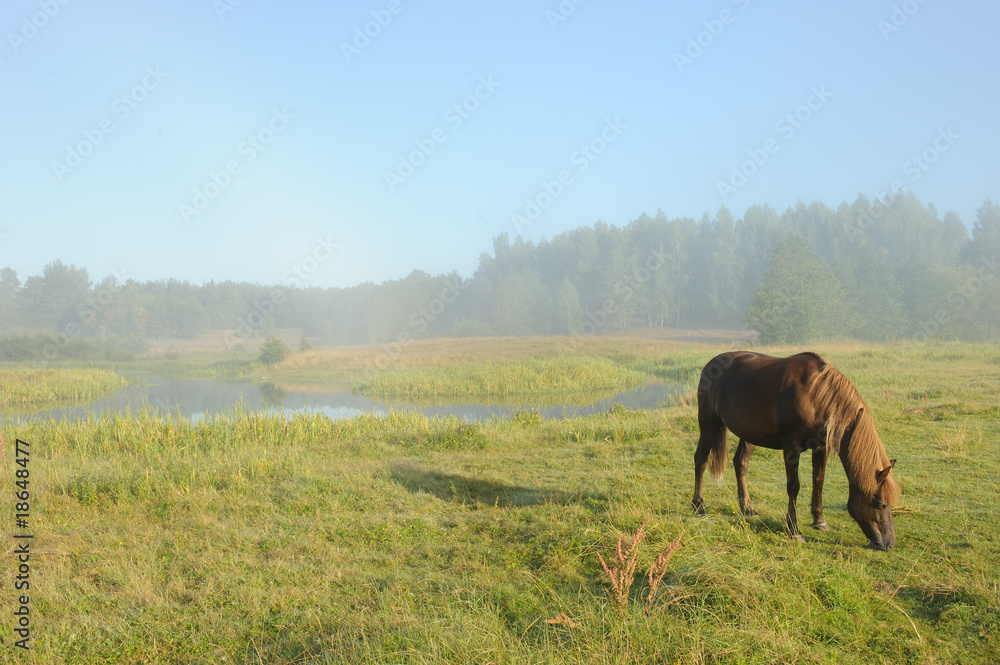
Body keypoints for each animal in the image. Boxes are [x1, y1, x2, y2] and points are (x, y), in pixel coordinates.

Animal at [696, 350, 900, 548]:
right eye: (881, 504)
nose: (889, 543)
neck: (816, 395)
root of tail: (712, 363)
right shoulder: (791, 446)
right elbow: (794, 486)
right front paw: (794, 530)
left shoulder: (821, 447)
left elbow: (819, 480)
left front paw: (819, 521)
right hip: (709, 424)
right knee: (701, 460)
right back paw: (698, 506)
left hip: (750, 434)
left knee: (740, 463)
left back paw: (747, 508)